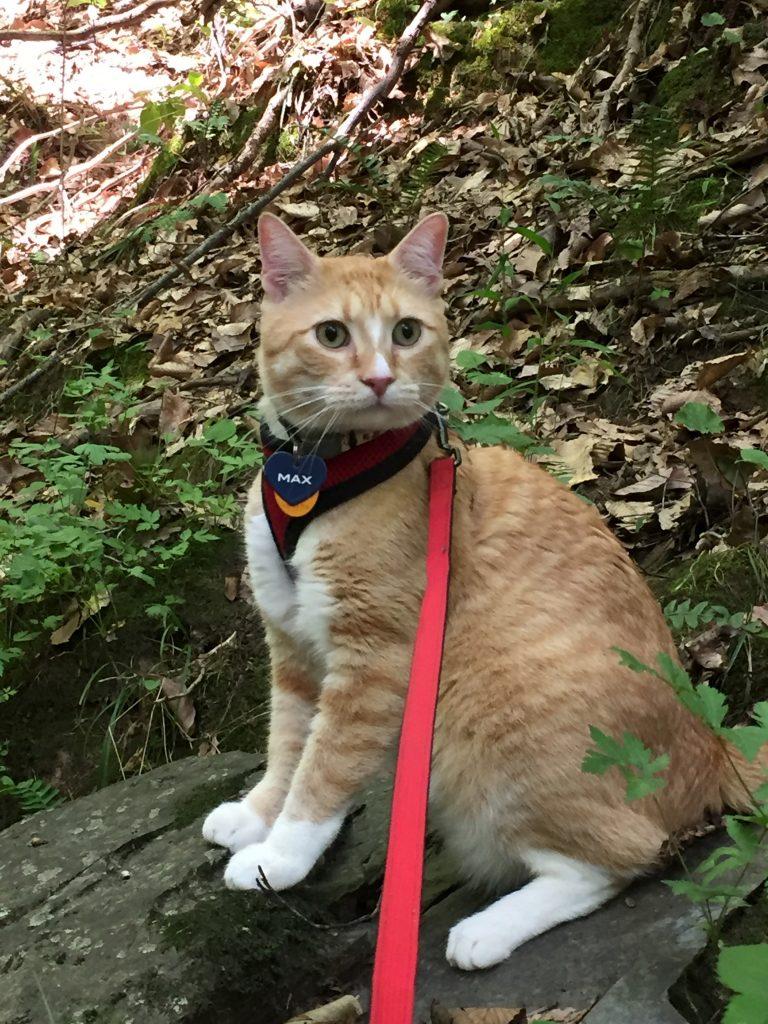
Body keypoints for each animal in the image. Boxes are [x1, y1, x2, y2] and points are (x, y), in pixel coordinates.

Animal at [201, 214, 765, 966]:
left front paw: (281, 855)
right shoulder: (291, 643)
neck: (318, 471)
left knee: (620, 859)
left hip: (489, 732)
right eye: (332, 335)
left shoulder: (376, 660)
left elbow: (325, 767)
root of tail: (712, 747)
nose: (380, 379)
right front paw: (257, 813)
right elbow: (288, 742)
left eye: (406, 332)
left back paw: (485, 931)